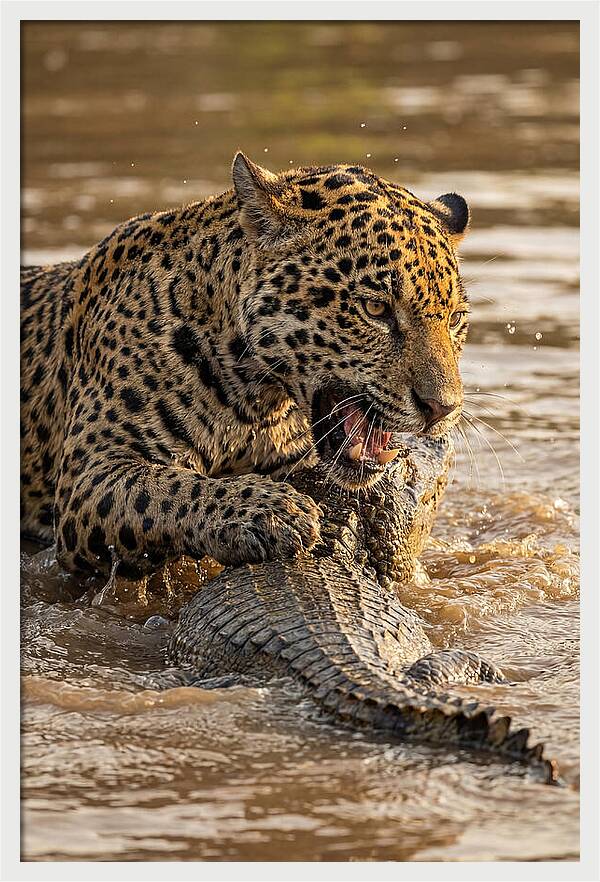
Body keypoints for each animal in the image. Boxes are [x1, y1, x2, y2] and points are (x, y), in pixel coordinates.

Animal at [20, 152, 470, 579]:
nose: (442, 408)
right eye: (376, 309)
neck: (255, 400)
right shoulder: (92, 474)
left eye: (454, 319)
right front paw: (271, 512)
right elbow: (166, 487)